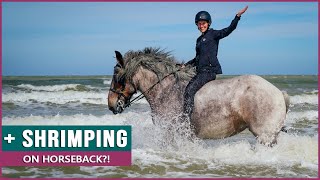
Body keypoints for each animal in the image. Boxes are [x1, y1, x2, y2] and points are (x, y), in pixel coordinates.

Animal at [108, 46, 290, 146]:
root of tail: (278, 92)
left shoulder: (170, 133)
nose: (111, 104)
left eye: (117, 76)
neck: (166, 90)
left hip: (265, 136)